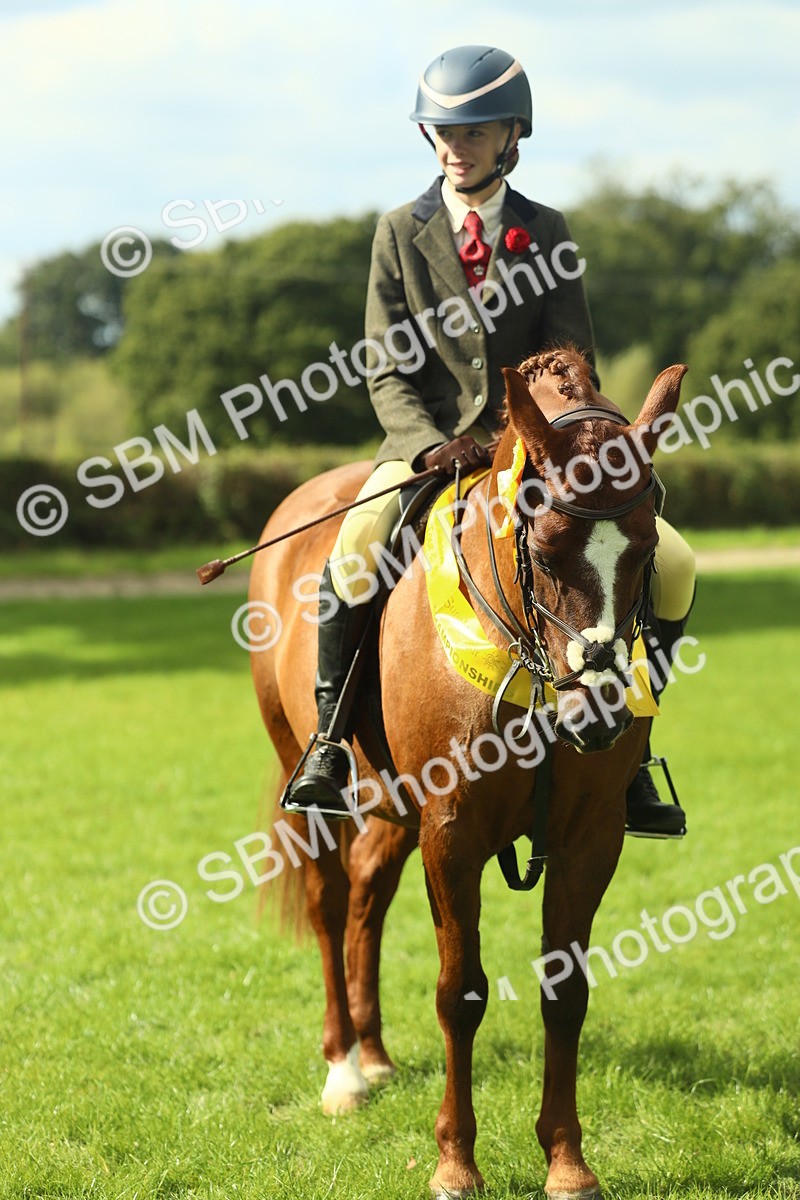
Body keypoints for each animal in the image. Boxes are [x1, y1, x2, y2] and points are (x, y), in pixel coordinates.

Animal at [248, 347, 688, 1199]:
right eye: (544, 547)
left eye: (647, 549)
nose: (599, 716)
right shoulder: (452, 833)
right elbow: (461, 991)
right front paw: (455, 1163)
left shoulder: (591, 837)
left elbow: (566, 992)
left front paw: (567, 1162)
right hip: (310, 781)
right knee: (328, 902)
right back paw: (345, 1069)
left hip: (395, 810)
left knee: (368, 897)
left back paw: (375, 1055)